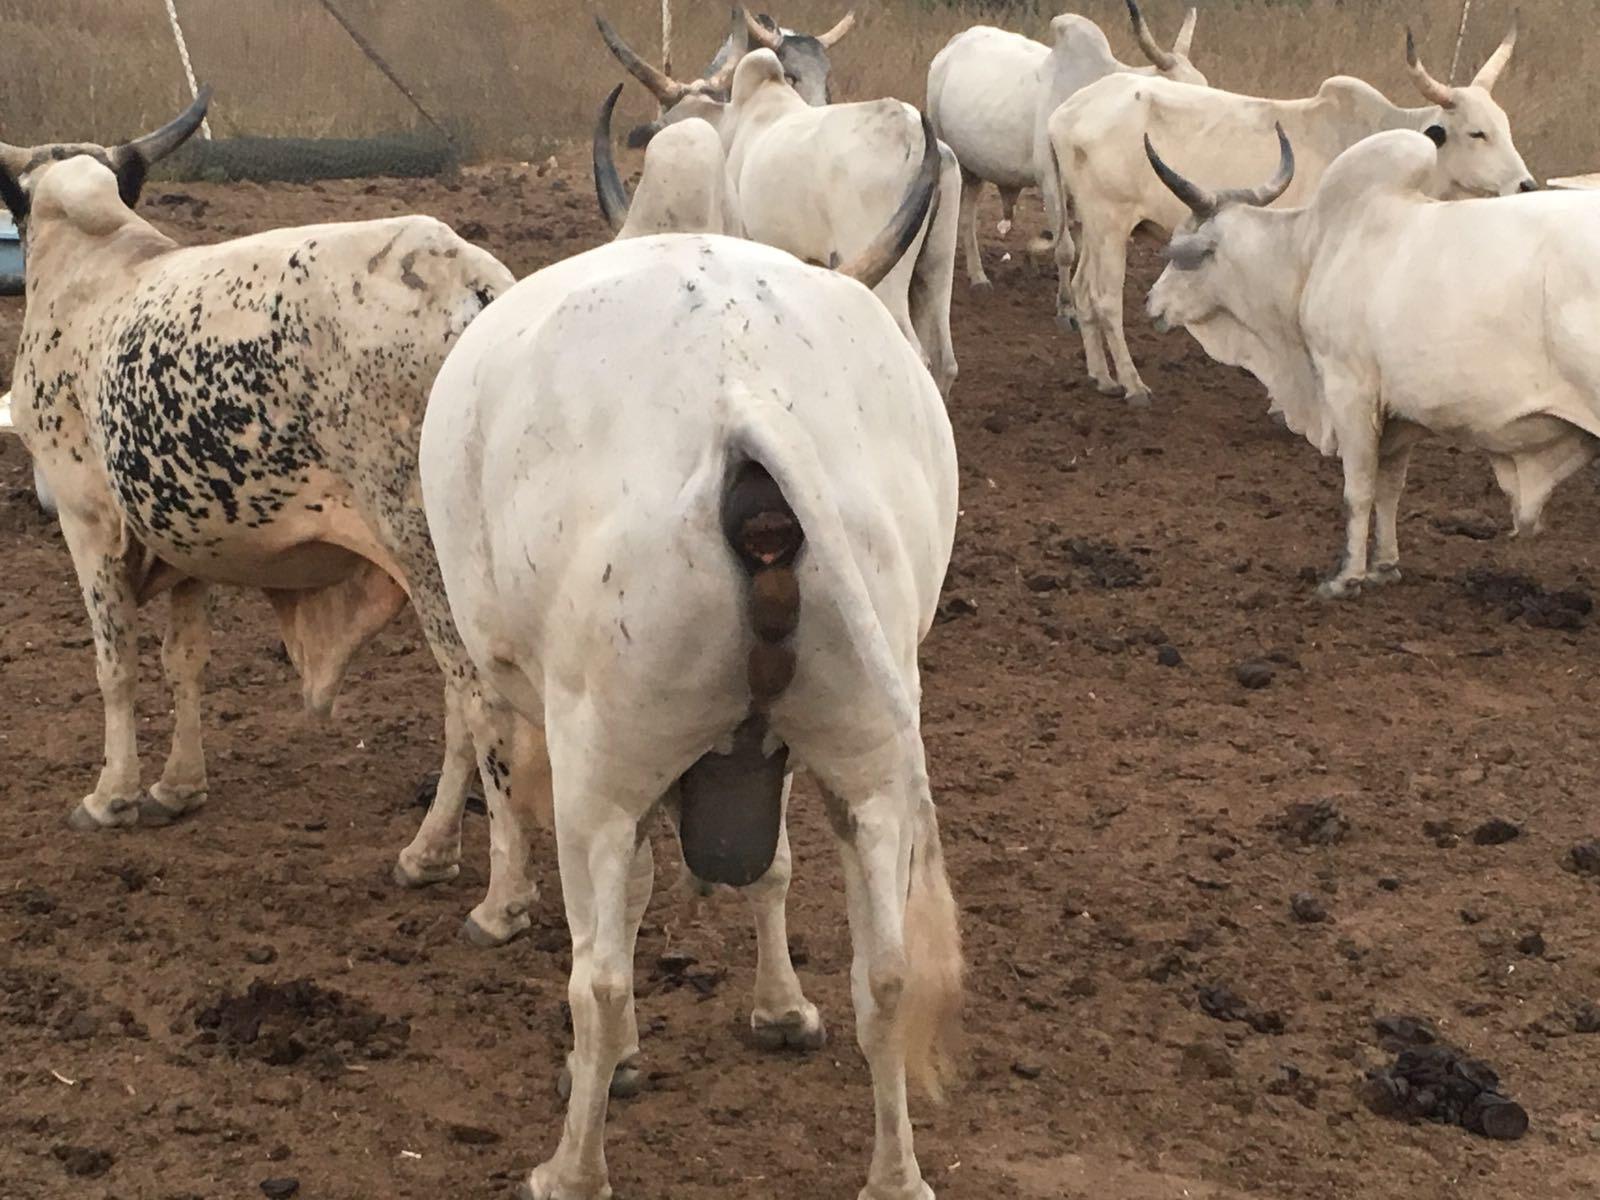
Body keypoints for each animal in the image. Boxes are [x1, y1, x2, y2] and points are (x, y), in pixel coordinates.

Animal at [0, 94, 547, 948]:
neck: (95, 264)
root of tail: (473, 283)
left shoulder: (87, 519)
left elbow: (115, 666)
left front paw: (110, 795)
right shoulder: (183, 537)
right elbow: (183, 661)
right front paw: (176, 786)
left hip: (425, 548)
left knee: (480, 702)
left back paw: (501, 902)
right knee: (464, 705)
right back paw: (426, 854)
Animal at [421, 131, 961, 1200]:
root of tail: (741, 407)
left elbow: (619, 897)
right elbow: (775, 870)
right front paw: (782, 1009)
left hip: (603, 761)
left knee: (597, 977)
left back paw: (570, 1169)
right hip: (869, 755)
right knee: (886, 973)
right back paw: (894, 1173)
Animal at [927, 0, 1203, 287]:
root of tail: (953, 44)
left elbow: (1078, 245)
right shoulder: (1050, 179)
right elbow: (1066, 248)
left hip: (975, 168)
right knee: (965, 218)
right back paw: (977, 277)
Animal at [1048, 20, 1532, 405]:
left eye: (1506, 126)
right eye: (1477, 133)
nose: (1525, 185)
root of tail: (1066, 113)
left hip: (1094, 226)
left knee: (1082, 289)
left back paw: (1103, 377)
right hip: (1110, 224)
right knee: (1105, 297)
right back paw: (1133, 386)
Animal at [1145, 126, 1600, 598]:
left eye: (1182, 255)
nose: (1151, 302)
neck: (1312, 254)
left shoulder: (1350, 393)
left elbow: (1357, 490)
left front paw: (1347, 577)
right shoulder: (1398, 416)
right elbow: (1389, 489)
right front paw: (1385, 565)